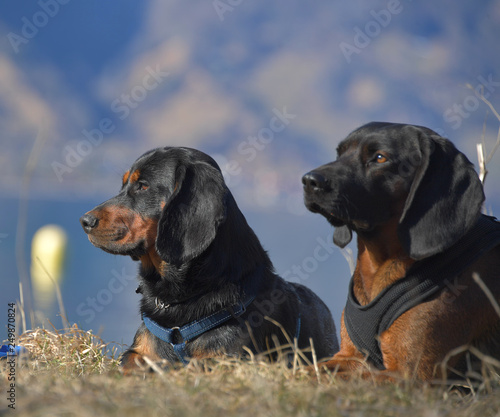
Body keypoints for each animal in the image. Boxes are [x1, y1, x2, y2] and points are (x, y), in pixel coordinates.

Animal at [300, 121, 500, 380]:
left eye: (379, 157)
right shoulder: (349, 356)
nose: (309, 180)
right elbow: (305, 370)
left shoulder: (410, 374)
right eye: (339, 153)